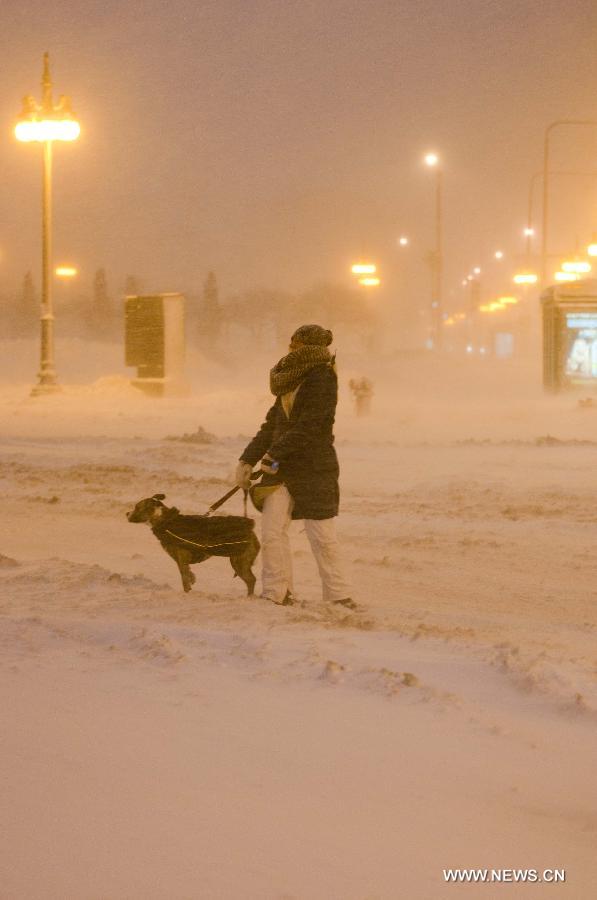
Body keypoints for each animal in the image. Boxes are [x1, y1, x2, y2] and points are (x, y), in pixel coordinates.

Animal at [127, 496, 260, 596]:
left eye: (137, 507)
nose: (126, 513)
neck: (165, 521)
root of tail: (251, 529)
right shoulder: (183, 561)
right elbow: (189, 575)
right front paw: (191, 582)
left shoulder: (182, 558)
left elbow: (184, 578)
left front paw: (187, 593)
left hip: (239, 562)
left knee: (251, 580)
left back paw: (249, 598)